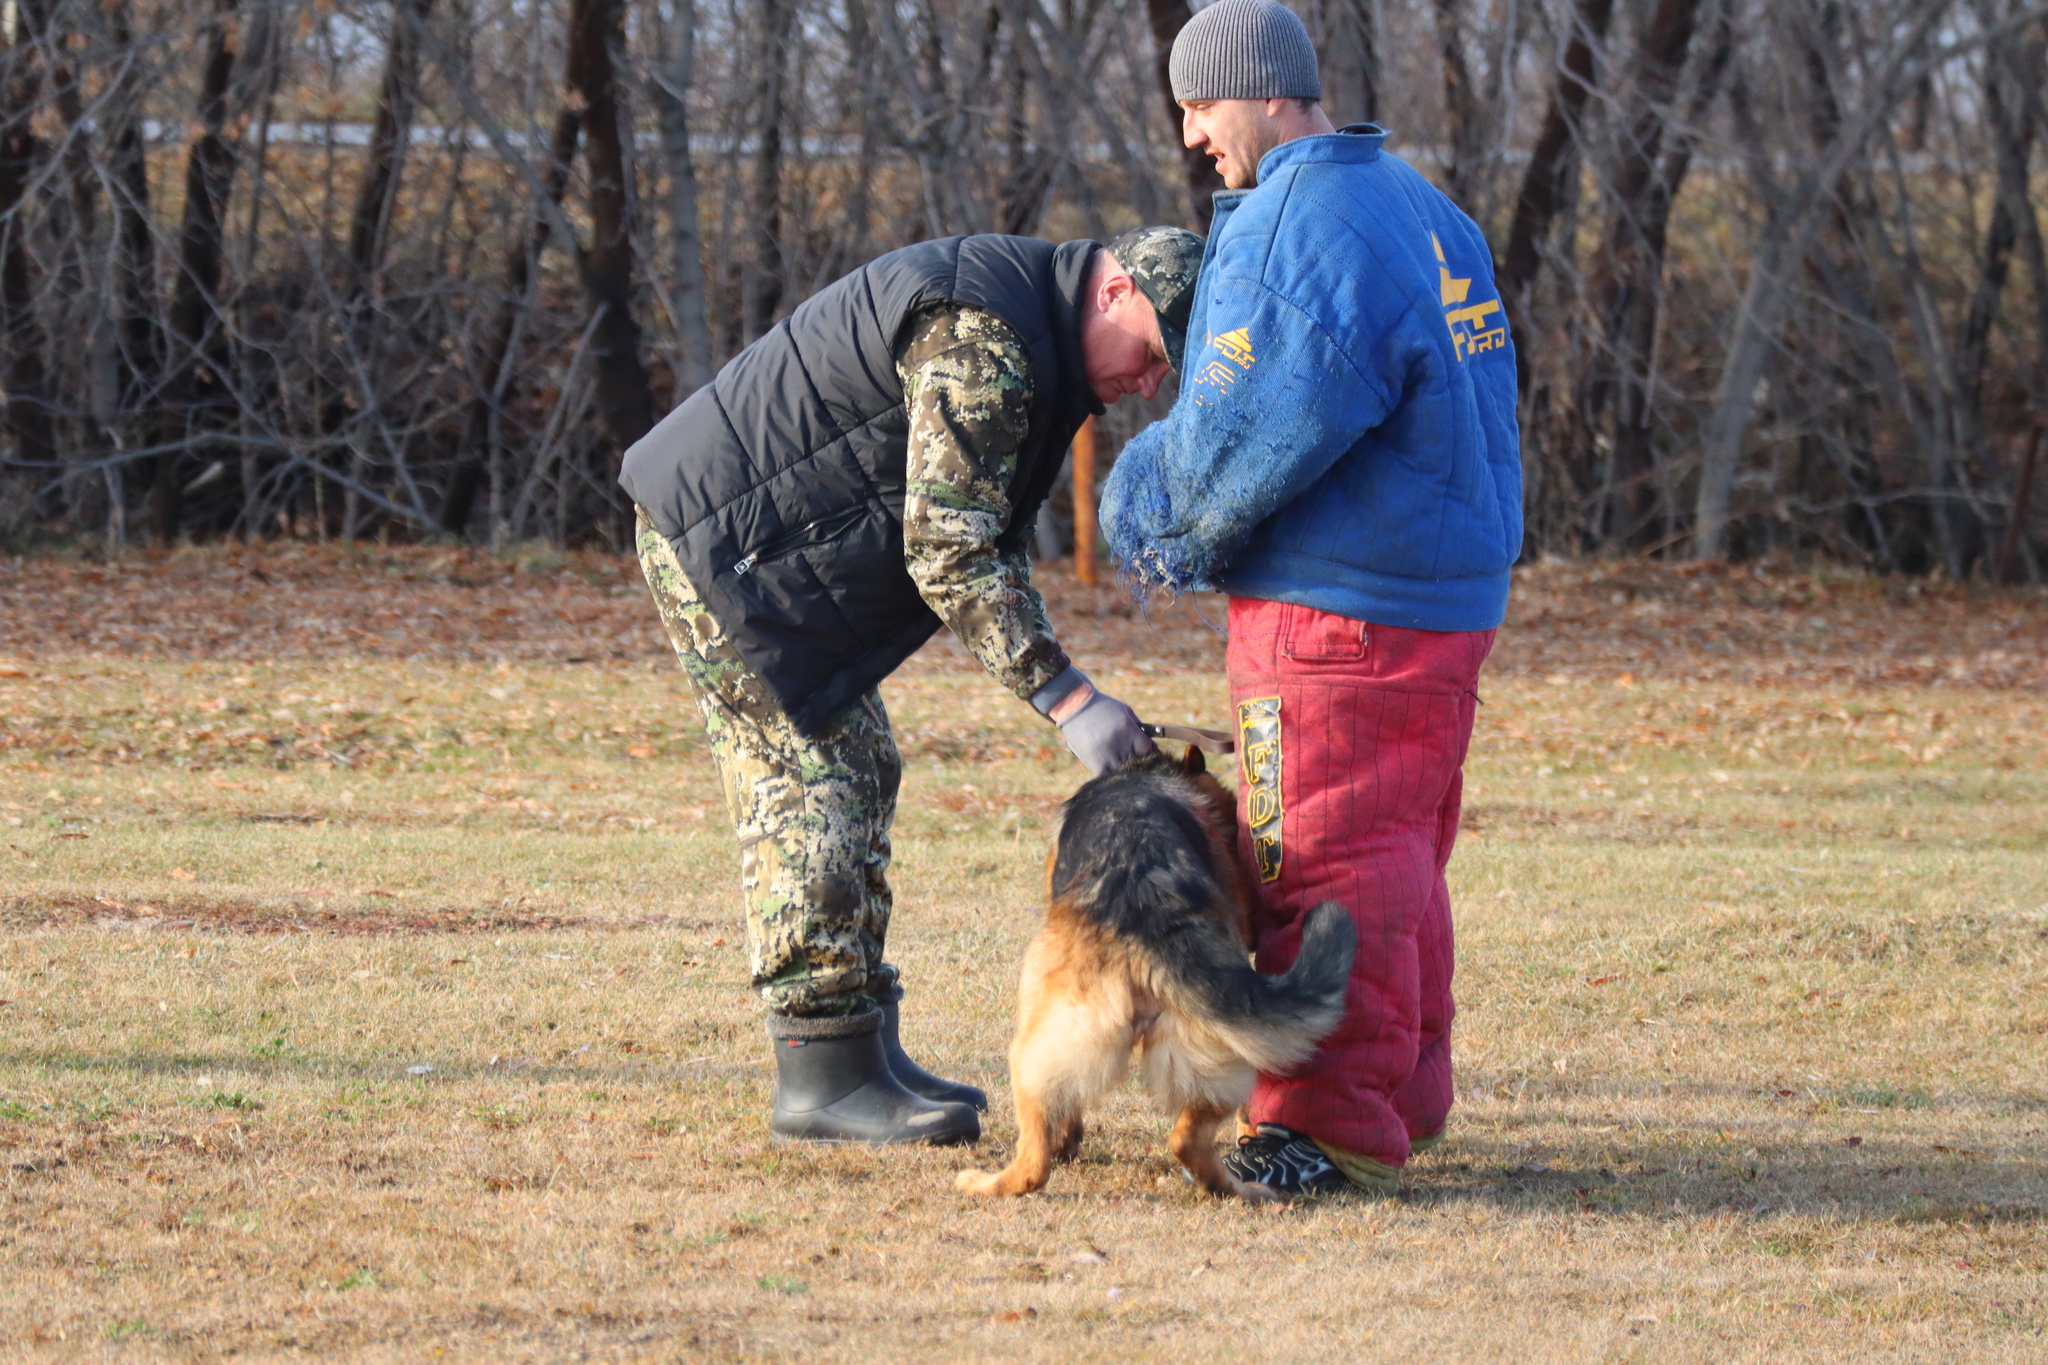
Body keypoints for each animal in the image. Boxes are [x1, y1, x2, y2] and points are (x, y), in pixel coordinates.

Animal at [958, 749, 1359, 1203]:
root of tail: (1146, 908)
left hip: (1038, 1050)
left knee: (1036, 1160)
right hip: (1211, 1057)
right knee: (1185, 1140)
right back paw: (1241, 1189)